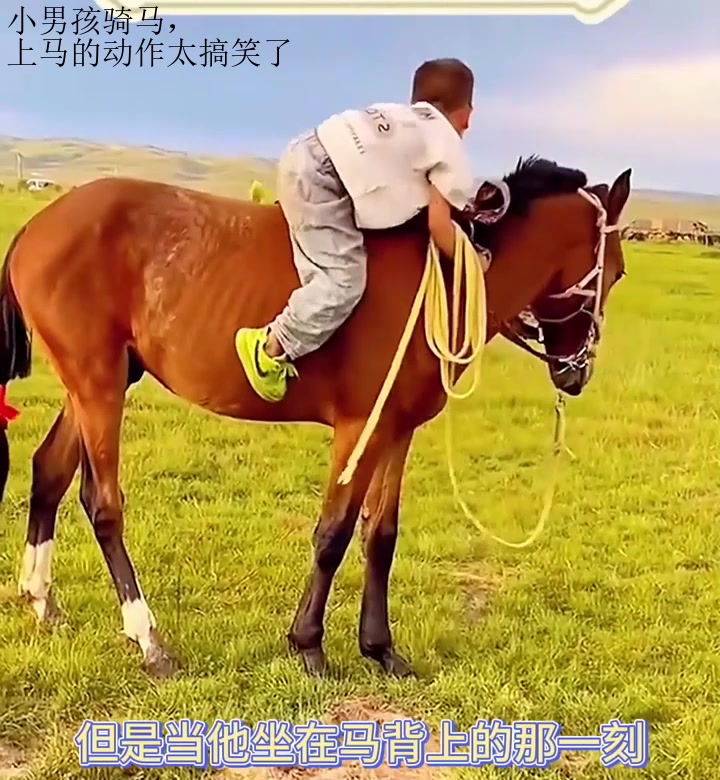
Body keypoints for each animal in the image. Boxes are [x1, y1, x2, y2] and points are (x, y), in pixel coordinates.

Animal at [0, 157, 631, 678]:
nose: (576, 374)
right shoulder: (359, 428)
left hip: (93, 384)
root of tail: (38, 227)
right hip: (98, 384)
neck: (449, 275)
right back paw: (148, 638)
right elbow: (334, 534)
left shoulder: (396, 431)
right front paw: (309, 645)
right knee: (103, 504)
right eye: (619, 271)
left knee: (49, 472)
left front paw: (380, 648)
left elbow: (381, 536)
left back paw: (41, 598)